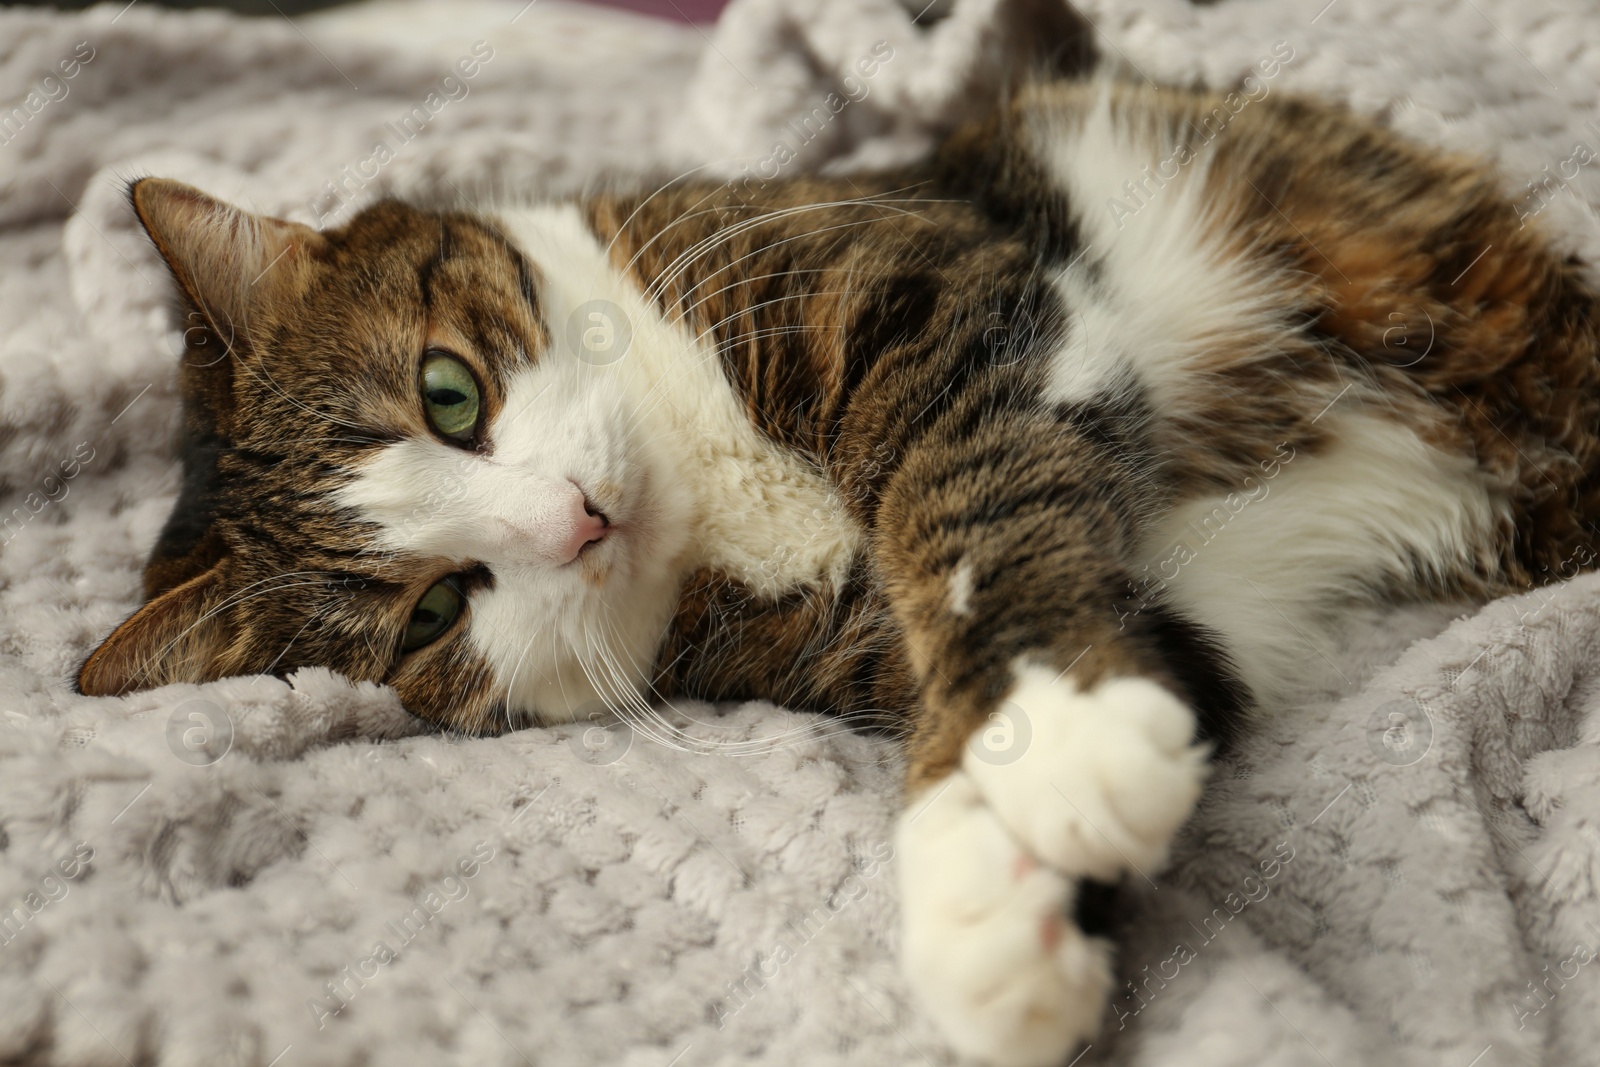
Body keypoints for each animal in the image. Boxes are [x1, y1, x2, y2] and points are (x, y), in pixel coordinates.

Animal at [75, 77, 1600, 1067]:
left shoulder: (921, 271)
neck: (708, 502)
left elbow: (969, 497)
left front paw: (1047, 737)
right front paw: (992, 885)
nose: (575, 520)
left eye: (449, 393)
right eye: (436, 610)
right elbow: (1118, 647)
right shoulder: (916, 632)